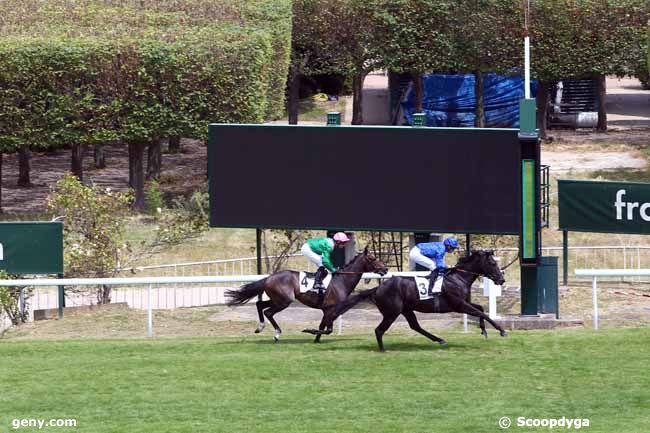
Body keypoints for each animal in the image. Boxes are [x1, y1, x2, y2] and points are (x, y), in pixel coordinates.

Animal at [224, 246, 384, 340]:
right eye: (373, 258)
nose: (385, 268)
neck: (341, 281)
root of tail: (269, 278)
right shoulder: (330, 308)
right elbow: (327, 329)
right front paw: (309, 331)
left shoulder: (326, 310)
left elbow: (323, 327)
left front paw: (316, 339)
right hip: (284, 301)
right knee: (268, 312)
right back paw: (276, 333)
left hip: (277, 299)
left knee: (259, 304)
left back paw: (260, 327)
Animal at [334, 250, 506, 352]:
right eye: (492, 263)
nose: (502, 279)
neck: (459, 278)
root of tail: (378, 288)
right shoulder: (458, 305)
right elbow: (482, 313)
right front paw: (501, 330)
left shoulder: (464, 303)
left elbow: (481, 309)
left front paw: (483, 330)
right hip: (392, 312)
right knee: (379, 330)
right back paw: (382, 350)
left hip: (406, 310)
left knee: (415, 326)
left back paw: (439, 339)